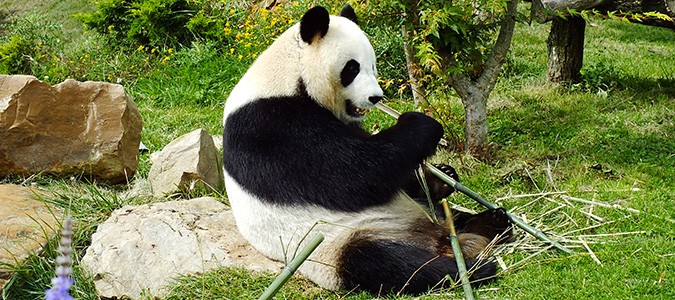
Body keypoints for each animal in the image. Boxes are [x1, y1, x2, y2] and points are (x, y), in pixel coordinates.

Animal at [223, 4, 512, 296]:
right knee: (384, 263)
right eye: (352, 68)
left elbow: (392, 174)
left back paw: (493, 223)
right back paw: (470, 268)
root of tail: (437, 239)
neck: (289, 74)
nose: (376, 97)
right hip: (333, 245)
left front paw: (441, 176)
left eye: (372, 65)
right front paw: (423, 125)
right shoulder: (273, 126)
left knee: (450, 216)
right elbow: (355, 177)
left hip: (419, 214)